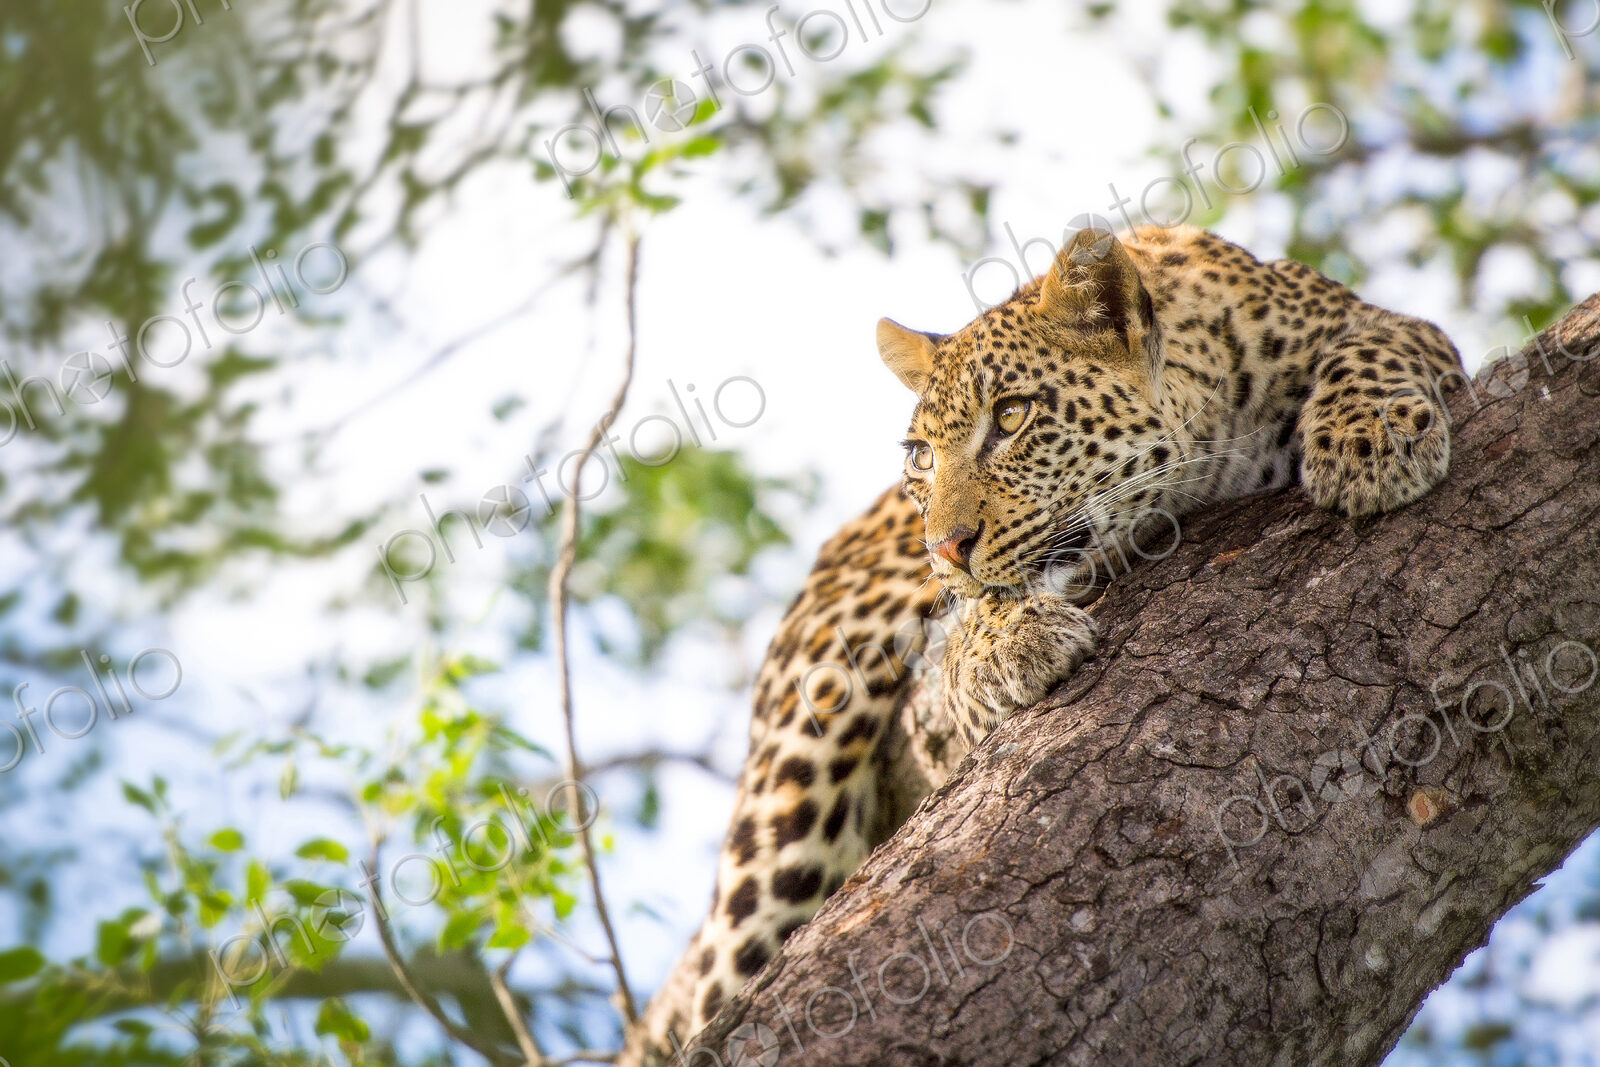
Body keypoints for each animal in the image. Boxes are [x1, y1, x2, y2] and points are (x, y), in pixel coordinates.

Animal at [619, 223, 1463, 1065]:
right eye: (921, 456)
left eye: (1014, 415)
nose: (944, 546)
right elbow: (973, 618)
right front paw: (1007, 639)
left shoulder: (1394, 325)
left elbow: (1374, 345)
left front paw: (1368, 441)